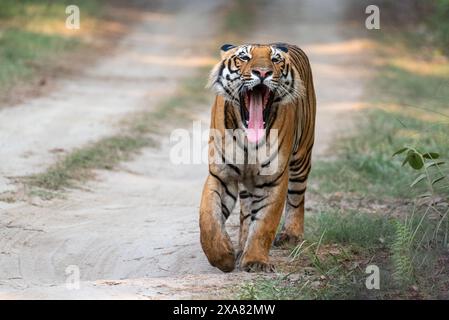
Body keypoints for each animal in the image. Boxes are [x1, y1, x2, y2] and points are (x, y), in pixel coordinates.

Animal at [200, 42, 316, 272]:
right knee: (245, 212)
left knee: (297, 198)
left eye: (275, 60)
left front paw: (255, 261)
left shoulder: (273, 179)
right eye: (244, 57)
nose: (262, 72)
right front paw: (223, 257)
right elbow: (208, 221)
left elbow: (264, 224)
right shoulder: (221, 175)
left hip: (301, 158)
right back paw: (240, 247)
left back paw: (291, 235)